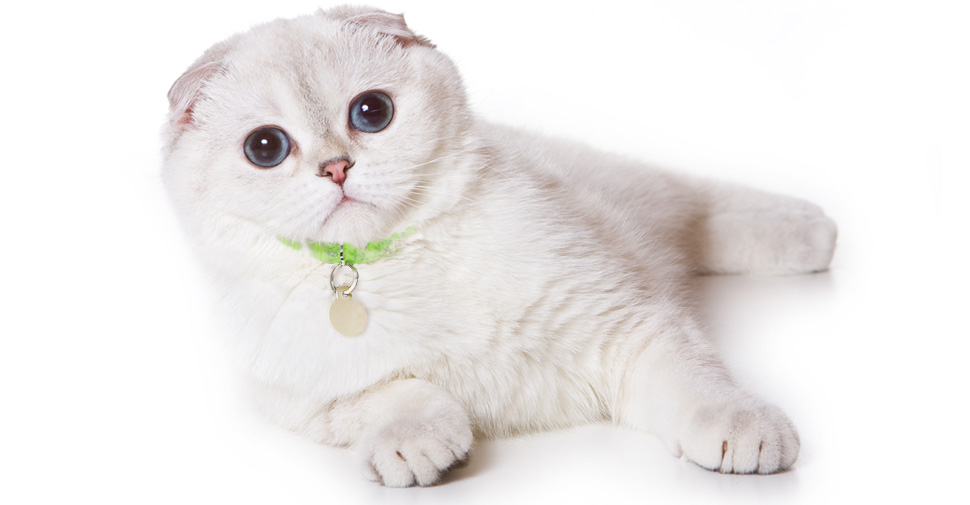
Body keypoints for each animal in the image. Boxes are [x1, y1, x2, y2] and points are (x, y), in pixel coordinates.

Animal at [163, 3, 836, 484]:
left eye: (371, 112)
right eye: (266, 148)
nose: (336, 168)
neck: (400, 261)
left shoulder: (625, 326)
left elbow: (698, 386)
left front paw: (742, 429)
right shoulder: (312, 401)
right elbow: (392, 394)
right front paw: (420, 445)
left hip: (643, 195)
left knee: (704, 207)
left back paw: (814, 233)